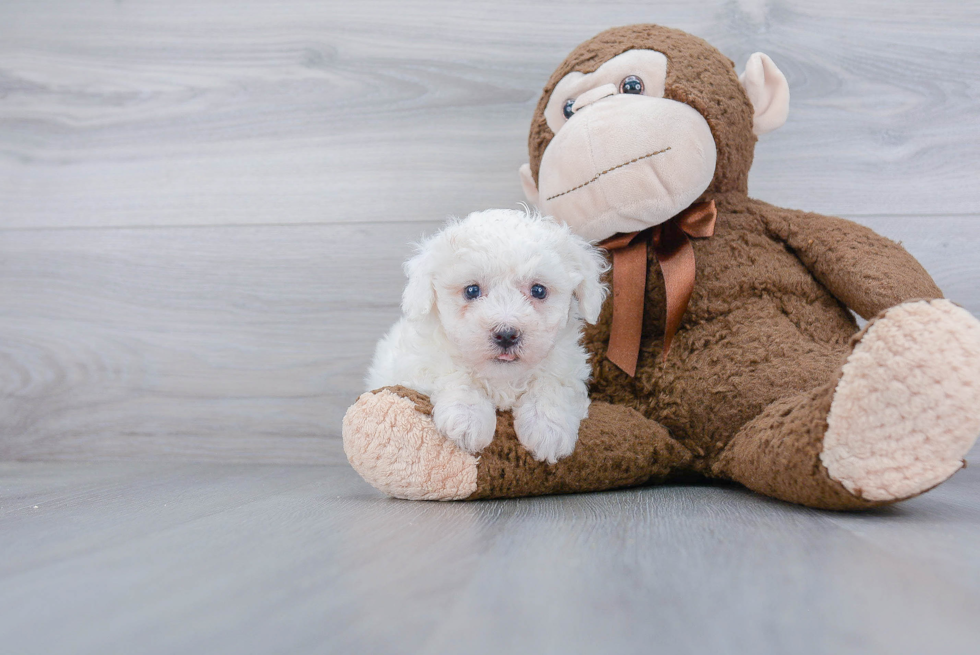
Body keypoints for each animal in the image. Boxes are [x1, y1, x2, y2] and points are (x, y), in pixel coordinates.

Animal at [366, 209, 604, 462]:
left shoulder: (567, 366)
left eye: (538, 290)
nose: (506, 334)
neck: (502, 376)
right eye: (472, 290)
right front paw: (467, 419)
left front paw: (548, 427)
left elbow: (552, 382)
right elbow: (455, 373)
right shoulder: (420, 365)